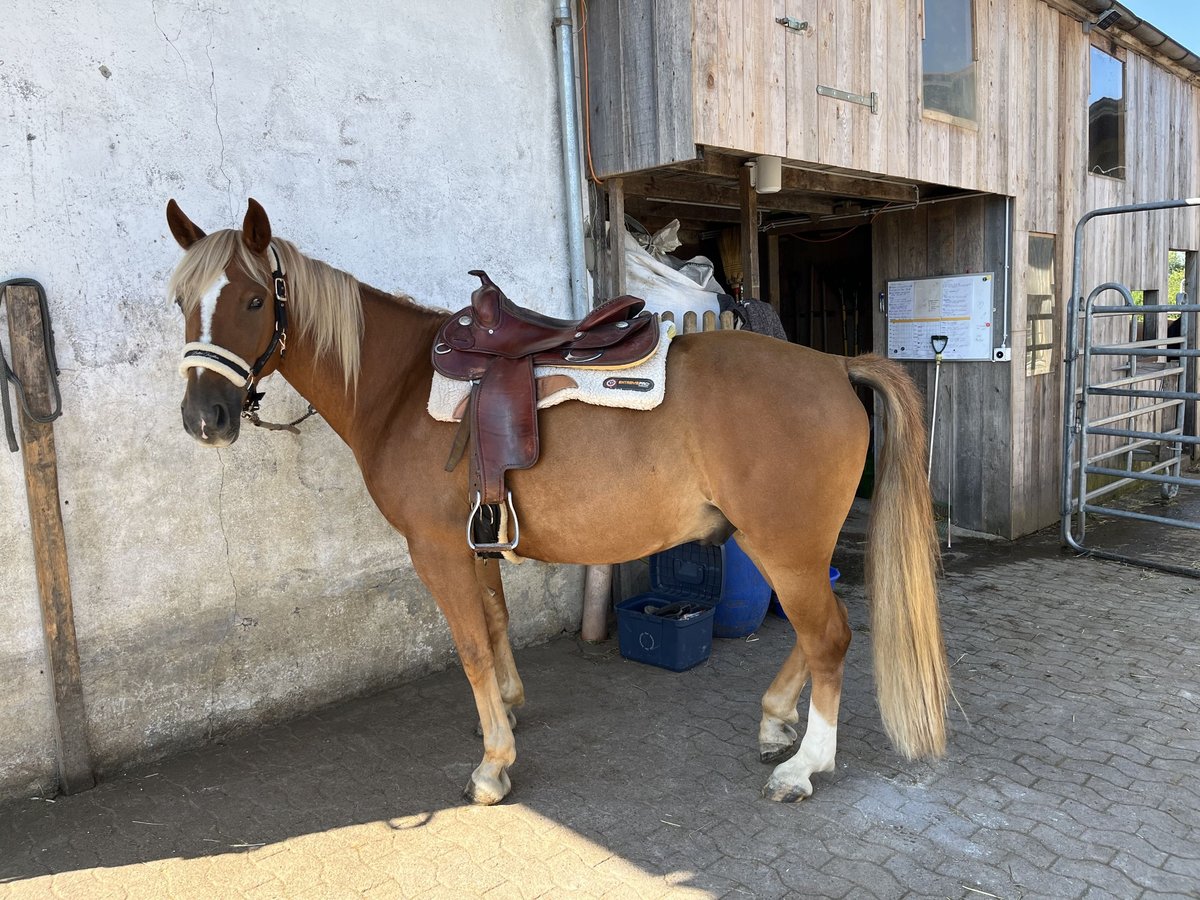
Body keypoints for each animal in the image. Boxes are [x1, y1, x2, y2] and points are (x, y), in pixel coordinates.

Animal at [164, 200, 945, 806]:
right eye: (181, 302)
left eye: (255, 300)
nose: (205, 417)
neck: (400, 385)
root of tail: (835, 366)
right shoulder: (477, 539)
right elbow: (497, 625)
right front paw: (508, 712)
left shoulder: (435, 549)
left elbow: (470, 646)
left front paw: (493, 765)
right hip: (786, 547)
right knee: (814, 637)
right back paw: (776, 718)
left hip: (785, 545)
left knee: (829, 638)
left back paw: (804, 765)